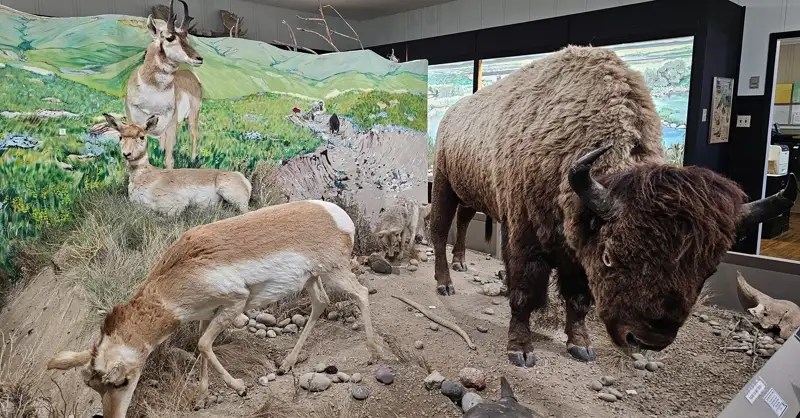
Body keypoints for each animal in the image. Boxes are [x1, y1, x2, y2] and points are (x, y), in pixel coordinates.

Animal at [46, 199, 380, 418]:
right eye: (94, 388)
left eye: (122, 382)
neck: (173, 278)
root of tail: (336, 213)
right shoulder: (208, 315)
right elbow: (200, 348)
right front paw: (202, 398)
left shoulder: (235, 302)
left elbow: (204, 344)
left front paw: (239, 387)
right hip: (313, 279)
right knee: (321, 303)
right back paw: (286, 364)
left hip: (335, 272)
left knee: (362, 293)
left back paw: (373, 353)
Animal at [104, 113, 251, 216]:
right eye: (120, 137)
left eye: (141, 136)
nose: (126, 154)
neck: (148, 176)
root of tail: (242, 178)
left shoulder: (175, 206)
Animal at [126, 0, 203, 170]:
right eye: (170, 37)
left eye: (187, 38)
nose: (199, 58)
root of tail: (191, 75)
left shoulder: (171, 125)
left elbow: (169, 160)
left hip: (192, 116)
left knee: (194, 134)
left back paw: (193, 159)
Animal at [429, 46, 797, 367]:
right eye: (610, 257)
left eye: (708, 270)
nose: (647, 340)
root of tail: (451, 115)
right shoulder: (525, 237)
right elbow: (523, 294)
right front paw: (520, 351)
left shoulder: (576, 253)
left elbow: (578, 299)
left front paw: (581, 346)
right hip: (445, 185)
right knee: (439, 231)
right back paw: (445, 283)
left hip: (470, 193)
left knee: (463, 221)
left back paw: (462, 263)